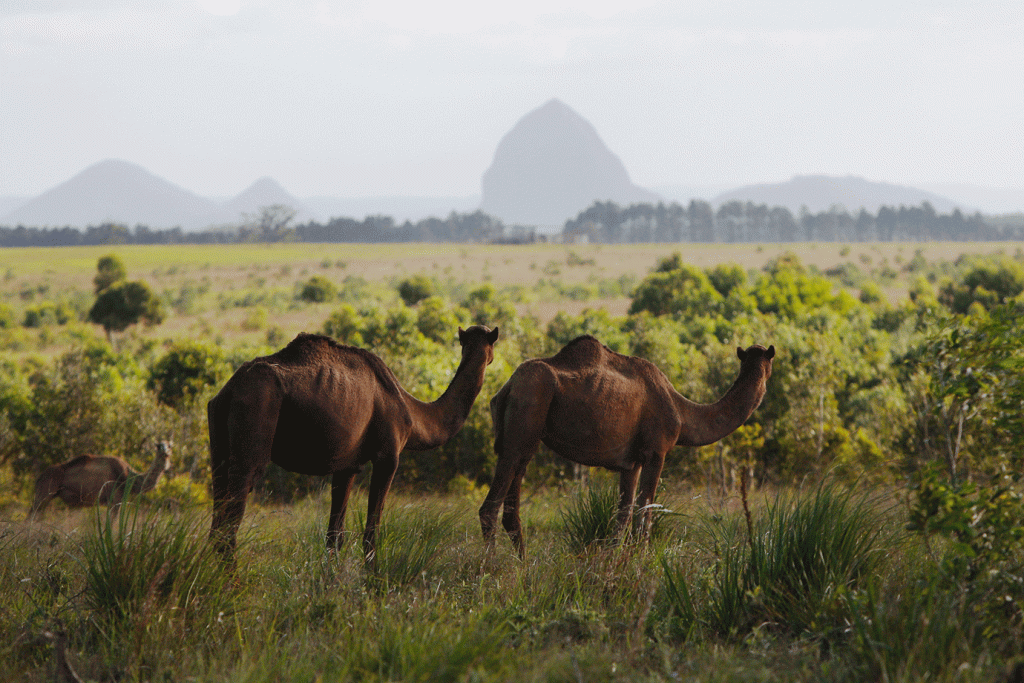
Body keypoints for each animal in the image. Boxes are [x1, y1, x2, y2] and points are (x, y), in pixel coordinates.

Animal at [30, 438, 173, 518]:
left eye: (170, 445)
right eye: (158, 446)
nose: (165, 451)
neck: (130, 479)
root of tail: (39, 477)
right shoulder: (116, 500)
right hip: (44, 494)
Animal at [207, 327, 499, 565]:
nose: (491, 357)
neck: (412, 413)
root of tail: (229, 391)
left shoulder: (347, 466)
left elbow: (334, 536)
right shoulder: (388, 456)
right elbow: (371, 532)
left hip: (218, 445)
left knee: (217, 519)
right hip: (254, 422)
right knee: (230, 522)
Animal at [481, 335, 774, 557]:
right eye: (771, 360)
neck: (682, 412)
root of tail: (507, 387)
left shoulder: (631, 464)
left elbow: (622, 517)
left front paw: (613, 563)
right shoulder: (656, 452)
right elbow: (645, 514)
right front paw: (641, 561)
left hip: (524, 438)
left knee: (512, 506)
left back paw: (522, 564)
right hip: (526, 415)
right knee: (490, 507)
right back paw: (490, 569)